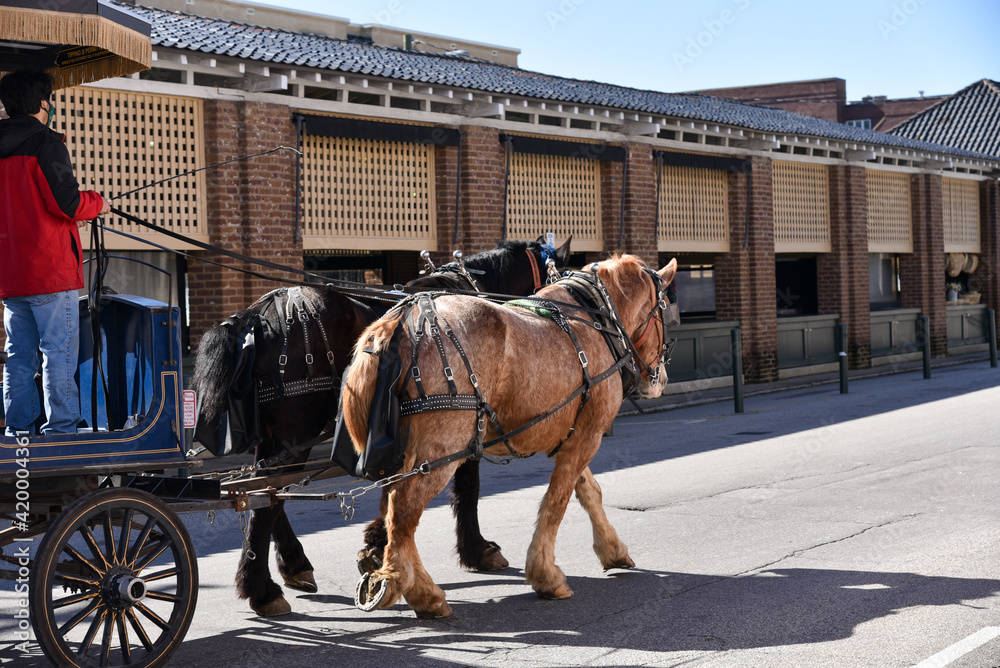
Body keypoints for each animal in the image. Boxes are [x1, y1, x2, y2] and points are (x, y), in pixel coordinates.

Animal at [191, 236, 571, 617]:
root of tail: (257, 314)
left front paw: (375, 546)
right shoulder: (464, 422)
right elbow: (467, 487)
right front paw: (476, 550)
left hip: (277, 437)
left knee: (265, 492)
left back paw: (292, 566)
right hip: (295, 430)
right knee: (265, 500)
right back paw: (263, 590)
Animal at [341, 255, 677, 618]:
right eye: (665, 313)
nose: (661, 379)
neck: (596, 320)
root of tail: (398, 324)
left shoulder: (572, 435)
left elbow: (589, 492)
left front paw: (612, 549)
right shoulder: (588, 435)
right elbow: (557, 502)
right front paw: (546, 576)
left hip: (405, 455)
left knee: (392, 508)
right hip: (440, 452)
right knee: (403, 511)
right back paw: (412, 588)